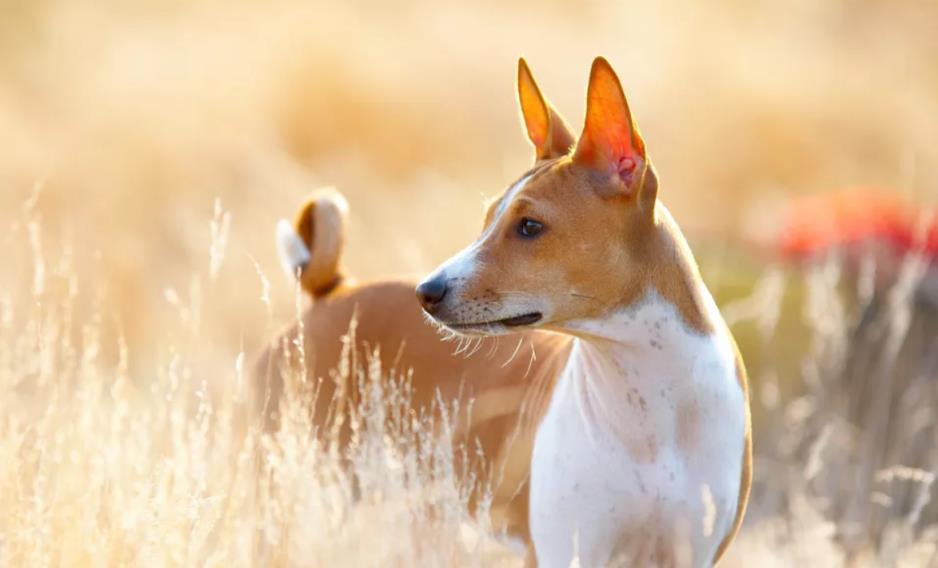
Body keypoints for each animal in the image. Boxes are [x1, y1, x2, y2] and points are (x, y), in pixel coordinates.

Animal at [414, 58, 744, 568]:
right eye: (488, 219)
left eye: (530, 226)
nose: (426, 291)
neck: (650, 405)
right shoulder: (565, 551)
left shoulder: (692, 552)